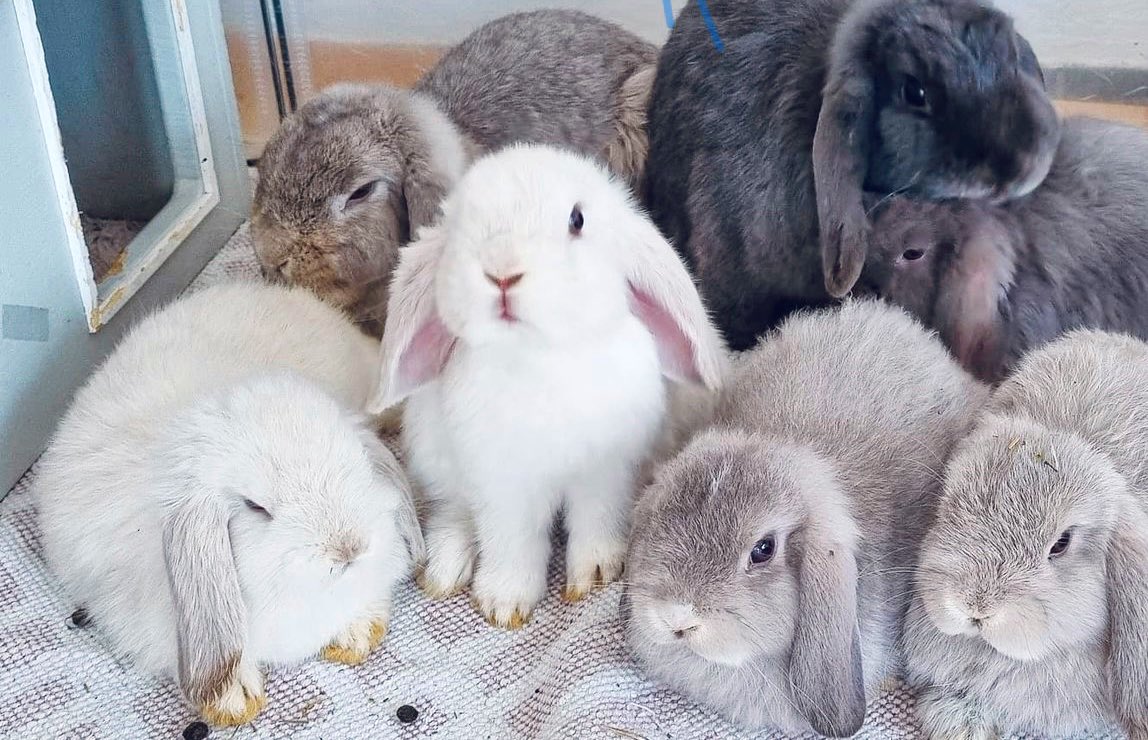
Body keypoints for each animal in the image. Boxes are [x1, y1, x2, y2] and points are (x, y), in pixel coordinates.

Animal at [367, 144, 727, 630]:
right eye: (459, 223)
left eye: (577, 219)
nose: (502, 271)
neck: (539, 355)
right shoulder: (502, 482)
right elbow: (511, 539)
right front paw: (503, 603)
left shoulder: (606, 470)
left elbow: (595, 518)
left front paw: (596, 574)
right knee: (455, 510)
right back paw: (445, 567)